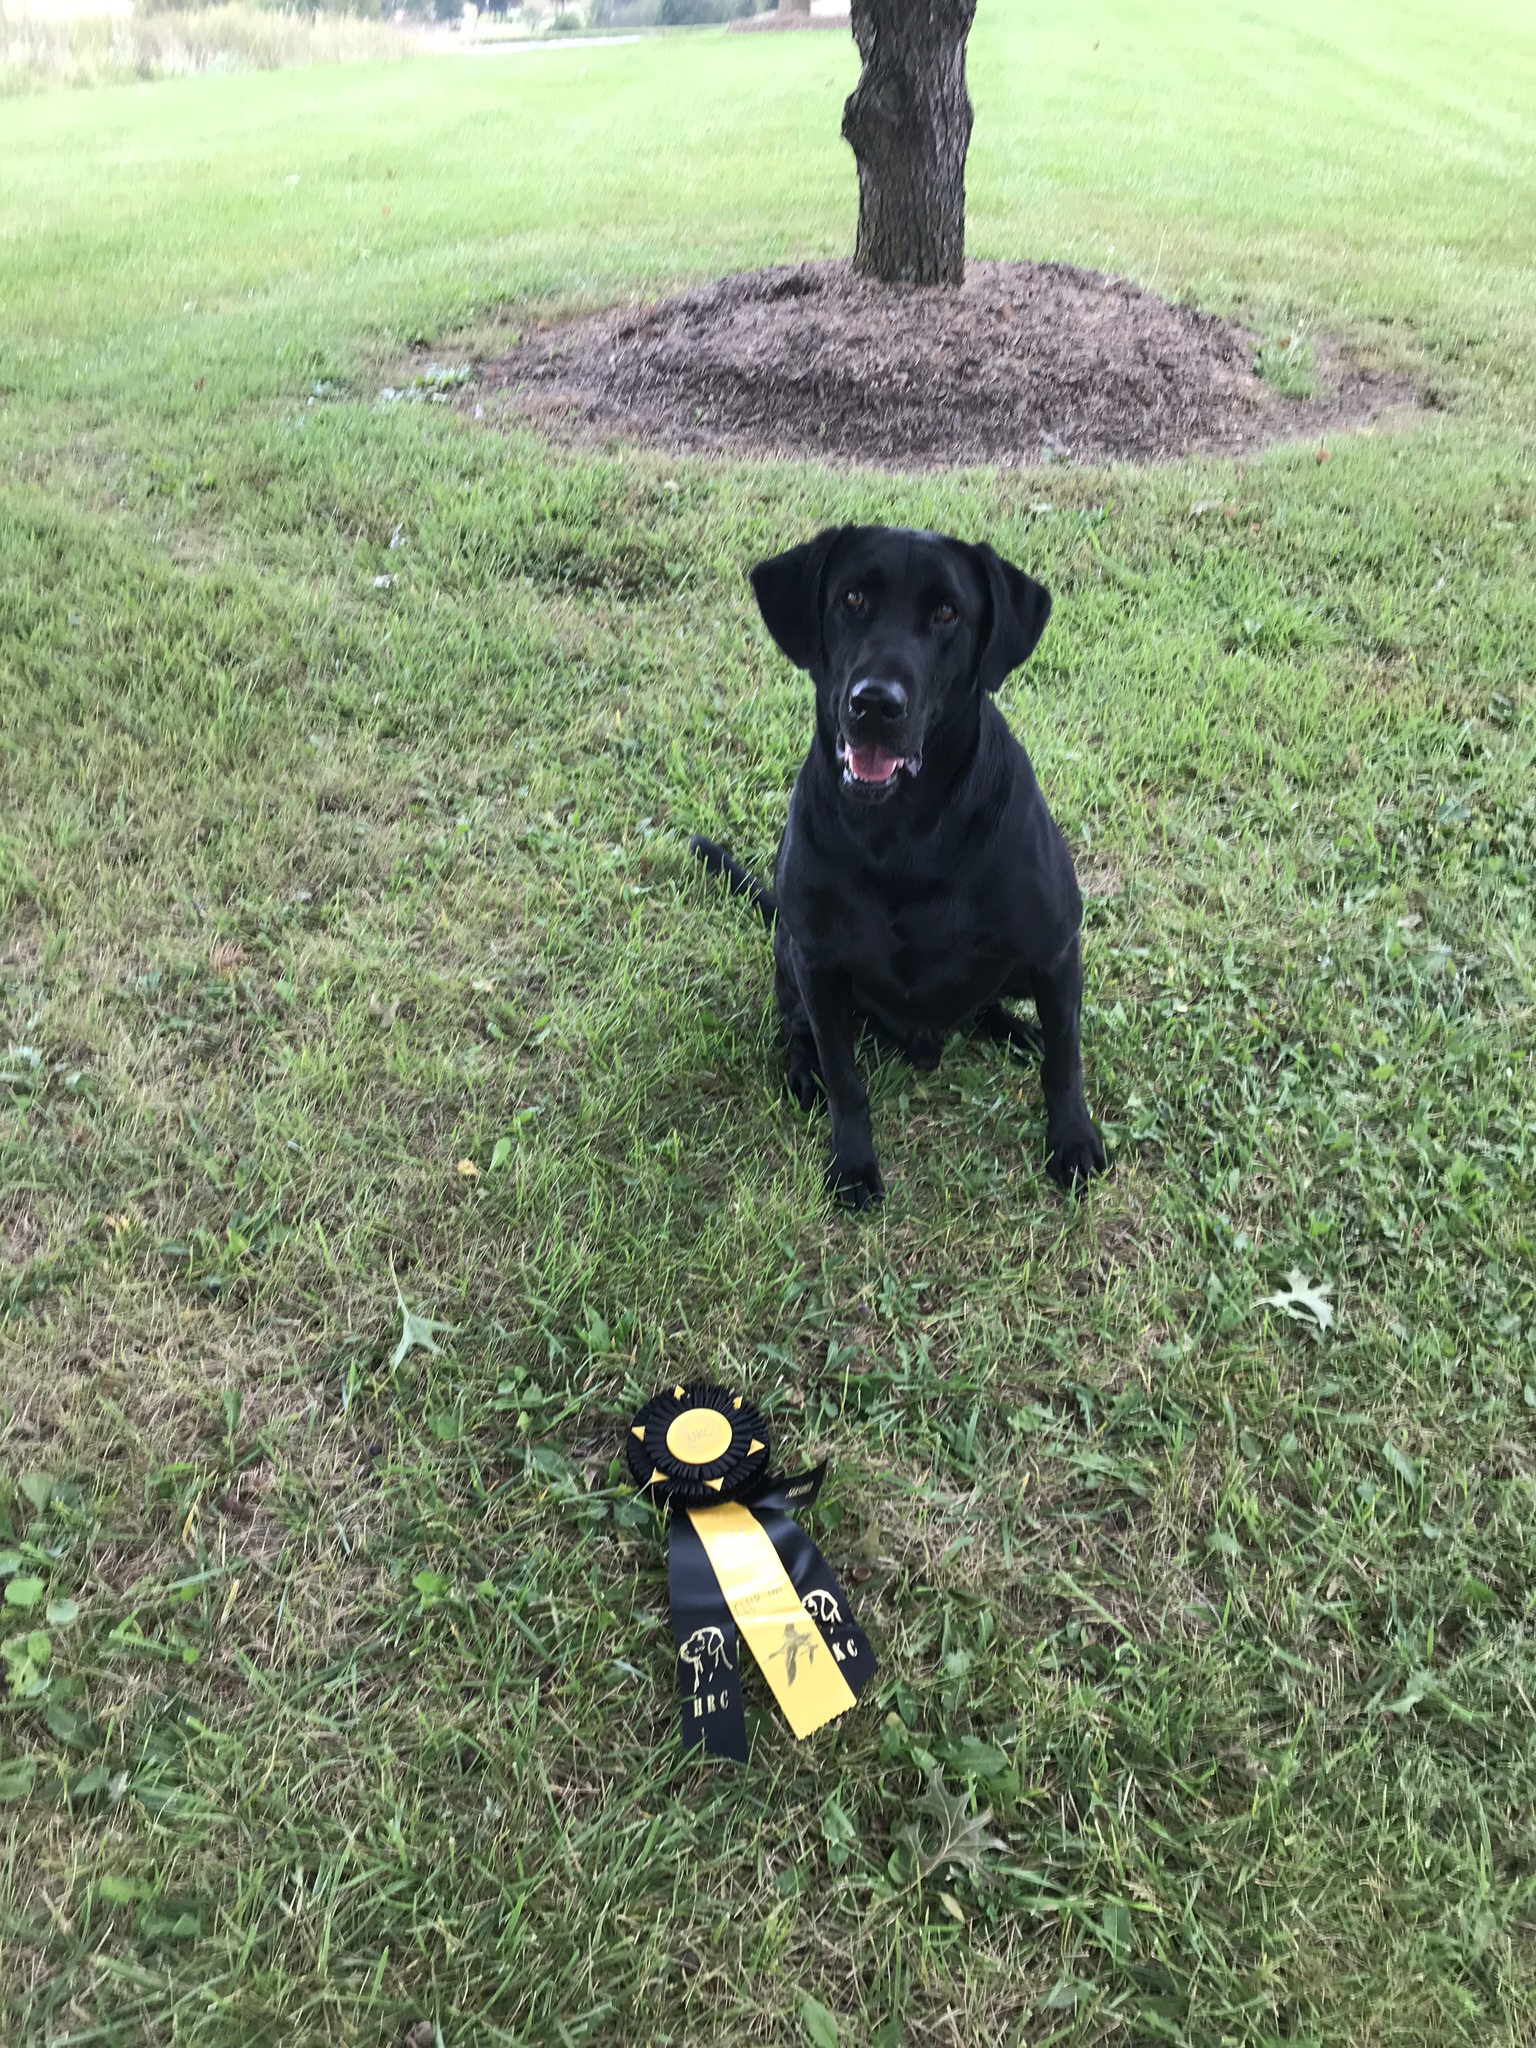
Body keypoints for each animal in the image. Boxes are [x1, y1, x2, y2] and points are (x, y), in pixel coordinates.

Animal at [696, 520, 1105, 1204]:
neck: (903, 830)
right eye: (852, 599)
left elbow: (1064, 1064)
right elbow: (844, 1078)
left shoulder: (1055, 948)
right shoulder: (820, 963)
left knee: (998, 1011)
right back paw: (801, 1072)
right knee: (796, 1028)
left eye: (946, 613)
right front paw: (852, 1162)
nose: (875, 704)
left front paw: (1072, 1141)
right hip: (788, 953)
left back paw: (1021, 1034)